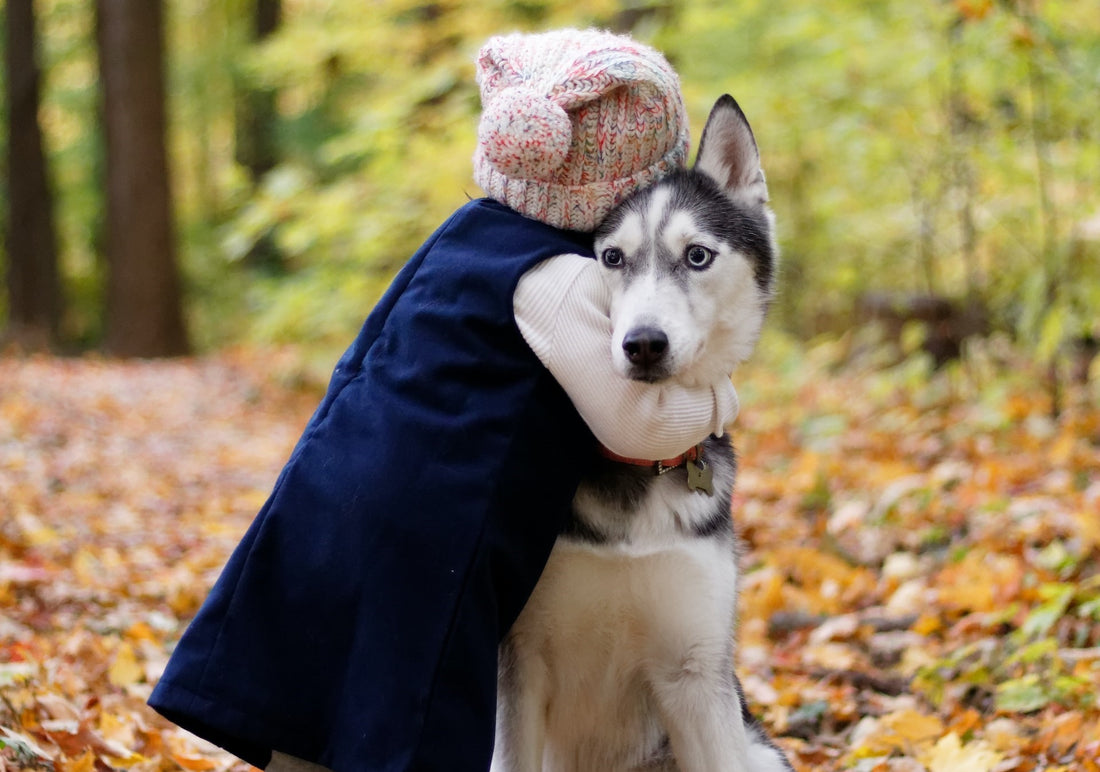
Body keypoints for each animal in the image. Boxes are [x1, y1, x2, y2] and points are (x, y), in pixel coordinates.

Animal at [492, 98, 792, 772]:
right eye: (612, 259)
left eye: (697, 256)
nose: (644, 344)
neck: (637, 458)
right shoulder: (519, 671)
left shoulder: (697, 673)